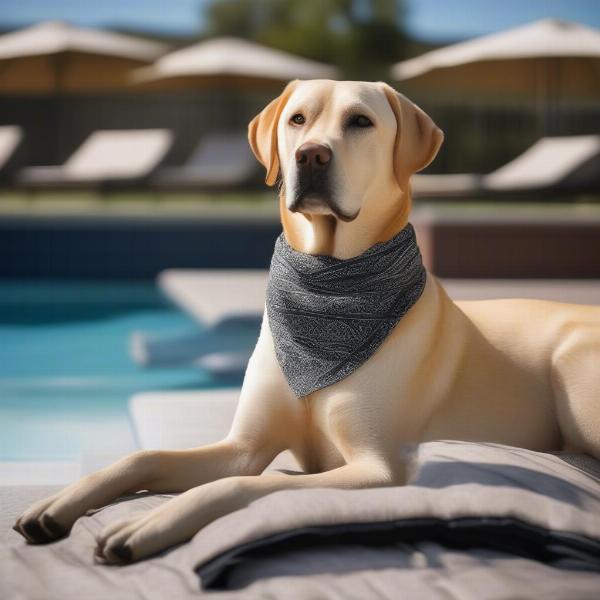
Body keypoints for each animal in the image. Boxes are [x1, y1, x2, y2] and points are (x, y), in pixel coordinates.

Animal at [14, 78, 600, 564]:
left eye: (360, 121)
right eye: (297, 119)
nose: (310, 154)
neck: (327, 285)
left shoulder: (377, 469)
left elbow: (250, 486)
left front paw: (152, 522)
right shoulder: (242, 448)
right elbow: (142, 455)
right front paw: (59, 504)